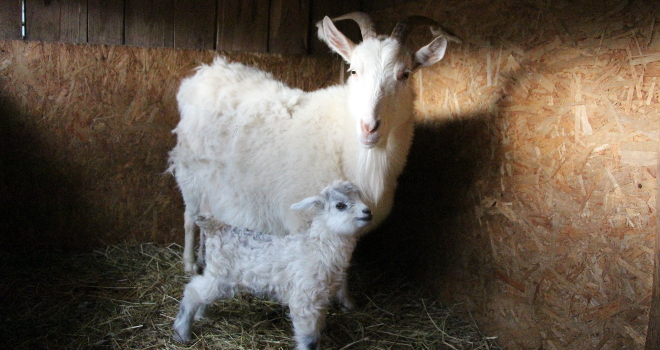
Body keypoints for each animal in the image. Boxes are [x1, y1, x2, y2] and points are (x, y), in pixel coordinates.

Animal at [169, 11, 458, 278]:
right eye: (353, 70)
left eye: (405, 74)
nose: (369, 127)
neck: (345, 145)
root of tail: (205, 74)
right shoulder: (300, 218)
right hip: (190, 174)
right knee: (189, 218)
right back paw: (190, 264)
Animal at [171, 182, 372, 348]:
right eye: (340, 206)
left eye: (359, 198)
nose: (367, 212)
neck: (316, 247)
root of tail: (218, 228)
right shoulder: (304, 299)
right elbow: (308, 336)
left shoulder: (320, 299)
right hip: (221, 276)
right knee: (192, 292)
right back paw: (182, 333)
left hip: (217, 274)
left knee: (200, 292)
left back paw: (200, 315)